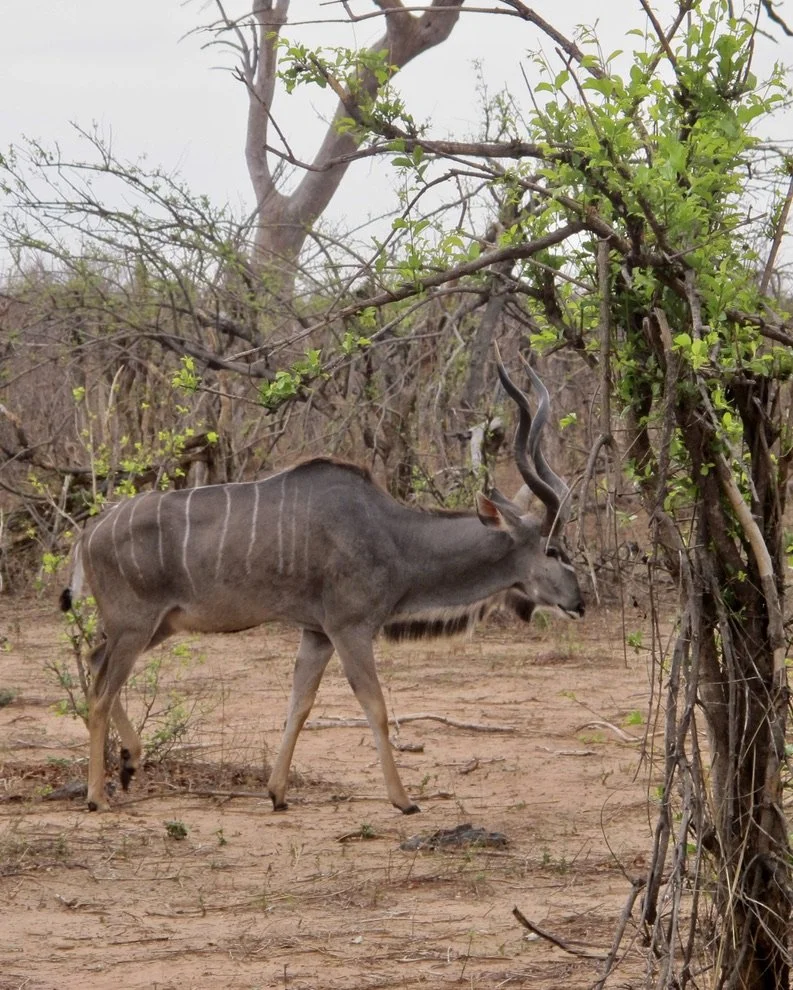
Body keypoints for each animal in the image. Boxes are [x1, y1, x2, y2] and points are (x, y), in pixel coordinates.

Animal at [60, 361, 584, 814]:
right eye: (554, 549)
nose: (578, 603)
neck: (392, 535)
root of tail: (89, 532)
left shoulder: (316, 633)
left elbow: (300, 704)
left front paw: (277, 793)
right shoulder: (350, 628)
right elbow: (375, 705)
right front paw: (404, 800)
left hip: (156, 626)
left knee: (94, 662)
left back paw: (129, 763)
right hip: (136, 625)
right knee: (100, 692)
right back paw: (98, 796)